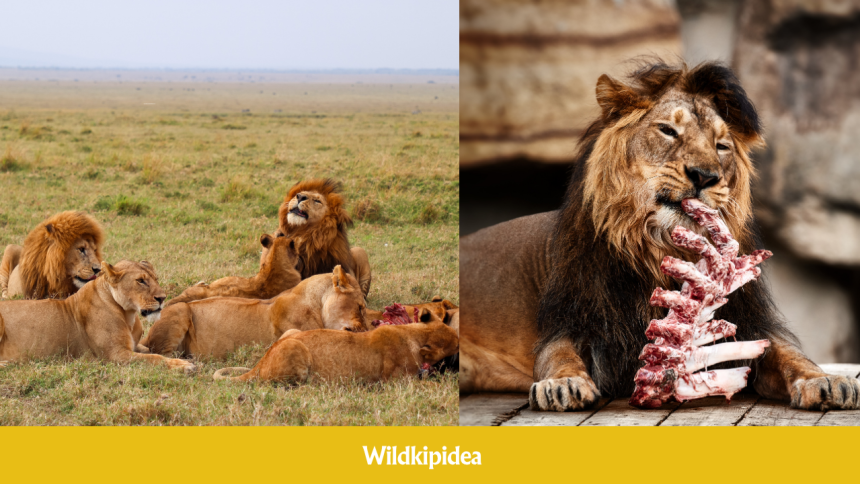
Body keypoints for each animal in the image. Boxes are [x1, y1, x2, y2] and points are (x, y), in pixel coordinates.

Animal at [0, 259, 194, 372]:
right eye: (141, 281)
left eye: (156, 279)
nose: (162, 298)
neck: (128, 315)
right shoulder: (116, 355)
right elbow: (154, 358)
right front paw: (183, 365)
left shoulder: (132, 346)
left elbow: (151, 351)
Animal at [212, 321, 459, 384]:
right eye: (457, 344)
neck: (416, 334)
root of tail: (261, 363)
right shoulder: (397, 382)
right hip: (295, 347)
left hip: (292, 332)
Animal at [460, 60, 860, 412]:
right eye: (668, 130)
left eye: (722, 146)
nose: (704, 176)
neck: (662, 249)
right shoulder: (570, 322)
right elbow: (558, 356)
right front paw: (563, 384)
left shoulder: (749, 324)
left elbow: (790, 355)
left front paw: (826, 380)